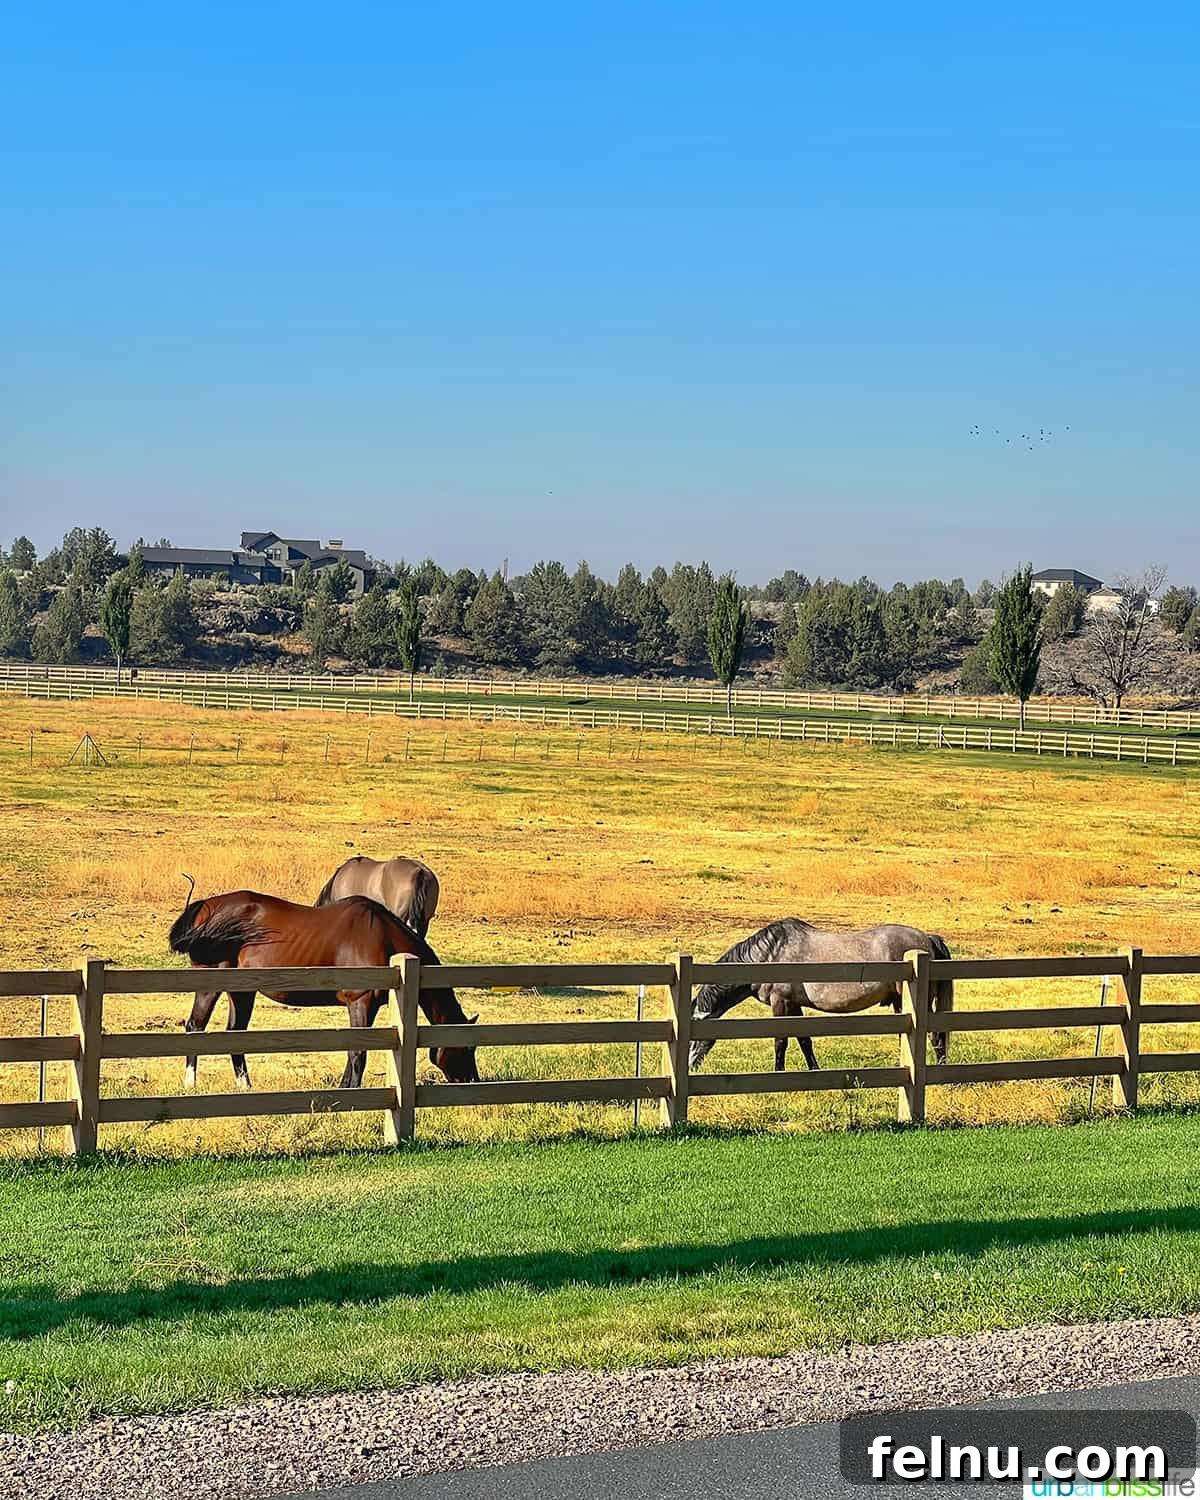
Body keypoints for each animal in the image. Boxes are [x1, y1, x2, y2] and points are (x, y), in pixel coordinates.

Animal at [168, 889, 479, 1090]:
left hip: (242, 992)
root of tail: (204, 907)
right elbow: (358, 1053)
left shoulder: (369, 1006)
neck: (384, 938)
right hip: (211, 983)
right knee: (195, 1026)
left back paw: (245, 1087)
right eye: (467, 1047)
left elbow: (356, 1051)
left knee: (235, 1034)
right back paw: (190, 1084)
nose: (472, 1080)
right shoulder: (360, 1002)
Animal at [687, 918, 955, 1072]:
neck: (770, 954)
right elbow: (804, 1040)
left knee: (935, 1037)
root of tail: (927, 939)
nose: (691, 1067)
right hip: (901, 1003)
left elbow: (780, 1041)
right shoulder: (794, 1005)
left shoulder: (780, 1002)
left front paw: (778, 1072)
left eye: (694, 1036)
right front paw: (814, 1070)